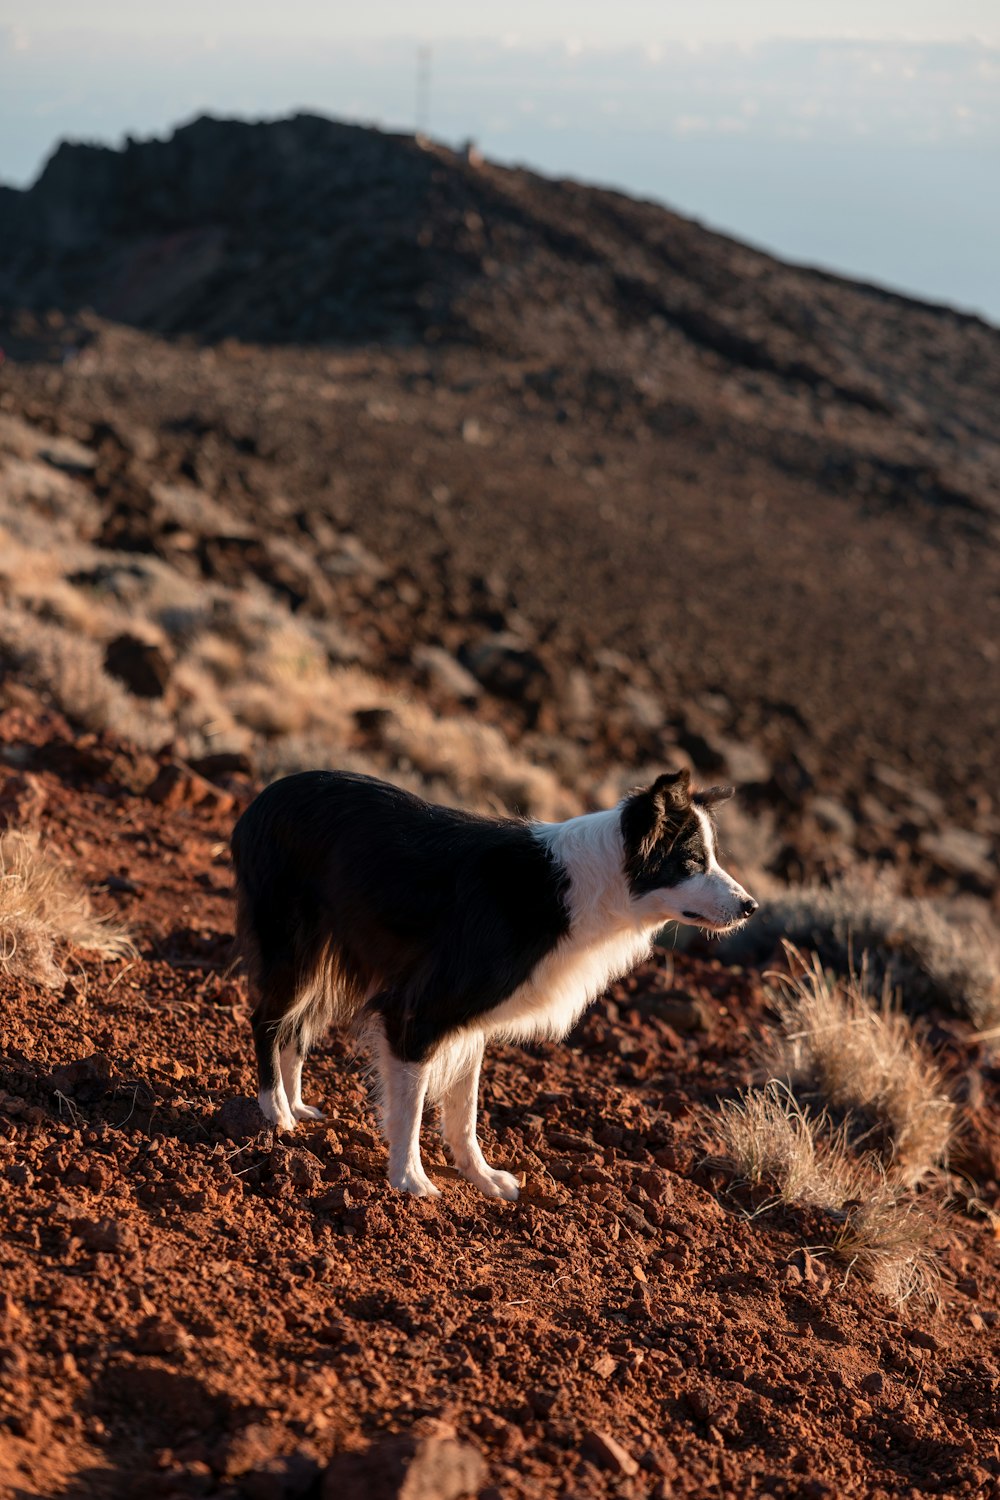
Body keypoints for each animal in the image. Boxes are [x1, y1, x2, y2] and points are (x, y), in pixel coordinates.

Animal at [230, 768, 755, 1200]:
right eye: (691, 862)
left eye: (711, 858)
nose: (750, 907)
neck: (583, 887)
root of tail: (264, 797)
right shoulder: (419, 1011)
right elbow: (411, 1109)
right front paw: (409, 1180)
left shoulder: (471, 1026)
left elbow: (465, 1112)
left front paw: (482, 1178)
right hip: (291, 944)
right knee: (266, 1019)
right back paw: (275, 1112)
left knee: (294, 1027)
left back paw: (296, 1105)